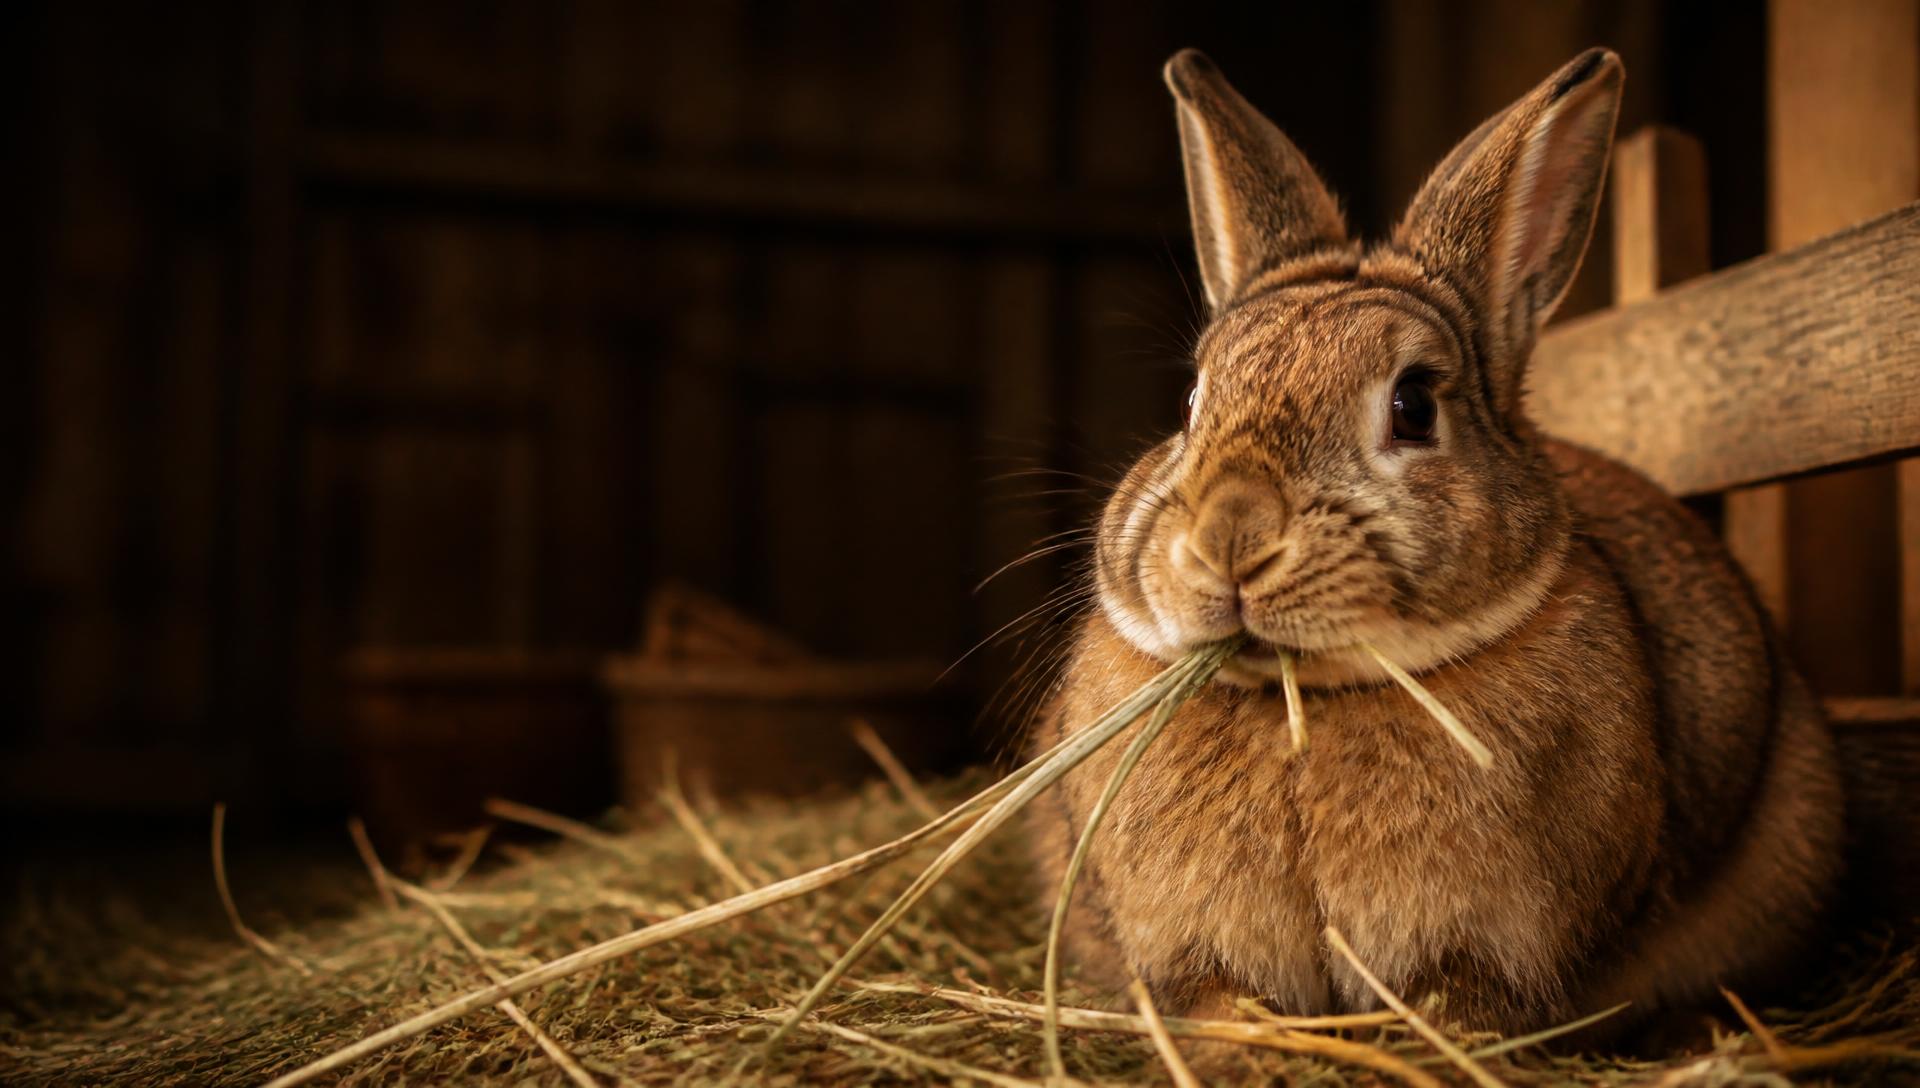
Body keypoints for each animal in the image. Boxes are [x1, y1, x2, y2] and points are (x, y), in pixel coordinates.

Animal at [1027, 47, 1846, 1040]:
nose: (1230, 540)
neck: (1306, 699)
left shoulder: (1492, 952)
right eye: (1191, 404)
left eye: (1414, 405)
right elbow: (1219, 1007)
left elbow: (1455, 1013)